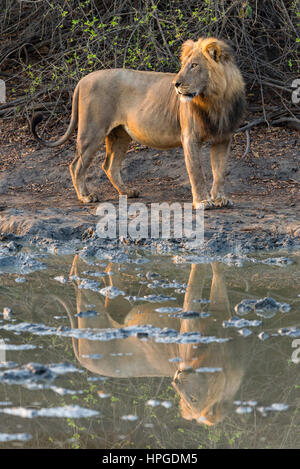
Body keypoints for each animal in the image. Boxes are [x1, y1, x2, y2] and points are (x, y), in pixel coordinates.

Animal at [31, 37, 246, 209]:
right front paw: (202, 202)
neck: (216, 99)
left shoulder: (223, 138)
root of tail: (82, 80)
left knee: (109, 165)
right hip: (92, 131)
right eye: (184, 65)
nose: (175, 84)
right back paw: (86, 196)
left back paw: (127, 192)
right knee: (76, 164)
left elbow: (219, 171)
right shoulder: (190, 137)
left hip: (120, 134)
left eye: (194, 65)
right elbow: (197, 172)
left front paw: (220, 198)